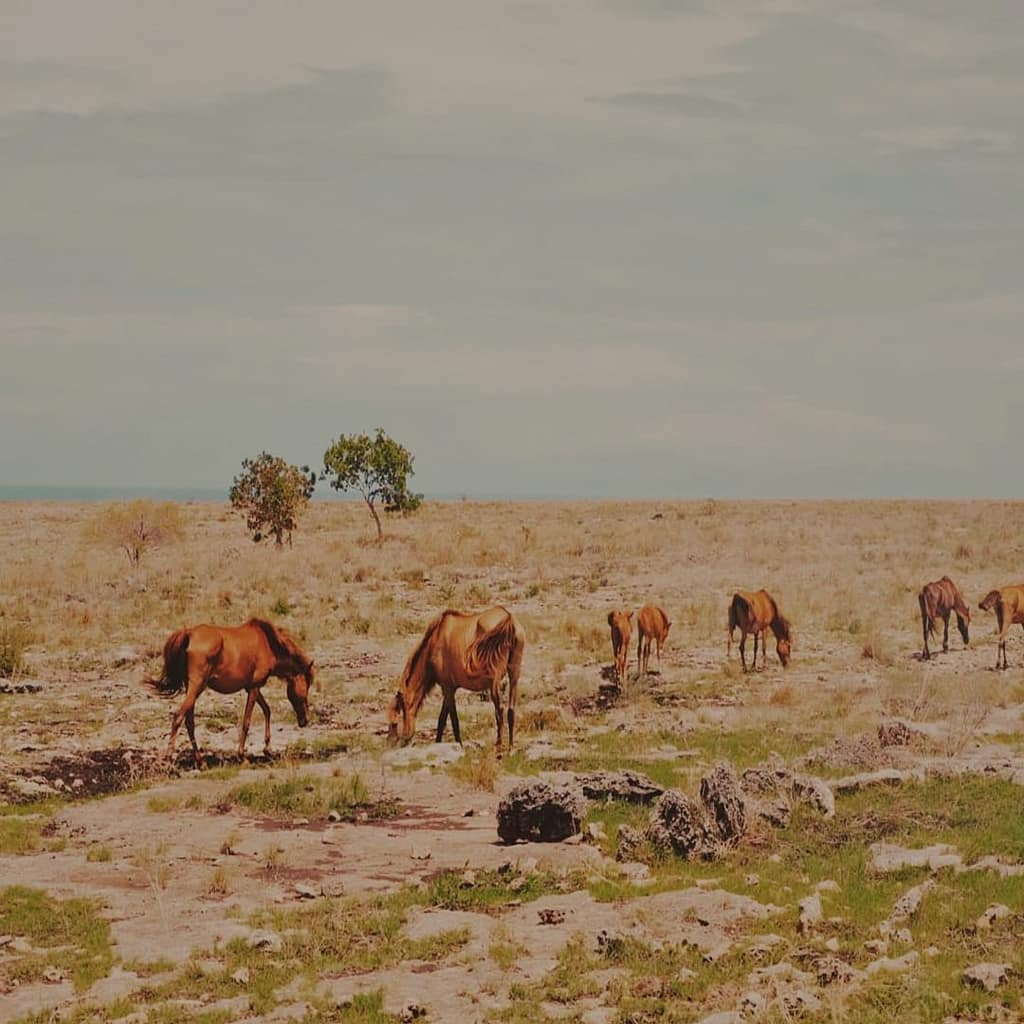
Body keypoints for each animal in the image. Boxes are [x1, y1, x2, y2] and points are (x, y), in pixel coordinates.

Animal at [145, 618, 314, 766]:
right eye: (307, 686)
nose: (305, 720)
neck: (268, 644)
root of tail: (189, 633)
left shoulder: (251, 687)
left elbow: (267, 710)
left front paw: (267, 749)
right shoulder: (254, 688)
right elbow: (247, 721)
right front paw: (242, 757)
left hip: (191, 689)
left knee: (189, 721)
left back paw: (201, 761)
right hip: (196, 687)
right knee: (178, 716)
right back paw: (168, 759)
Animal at [386, 606, 525, 753]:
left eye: (394, 723)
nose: (392, 744)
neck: (434, 642)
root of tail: (508, 618)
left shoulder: (447, 688)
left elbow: (452, 720)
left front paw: (459, 745)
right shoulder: (449, 689)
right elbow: (442, 719)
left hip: (494, 681)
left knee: (499, 711)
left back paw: (498, 747)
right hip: (514, 675)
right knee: (511, 711)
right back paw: (510, 747)